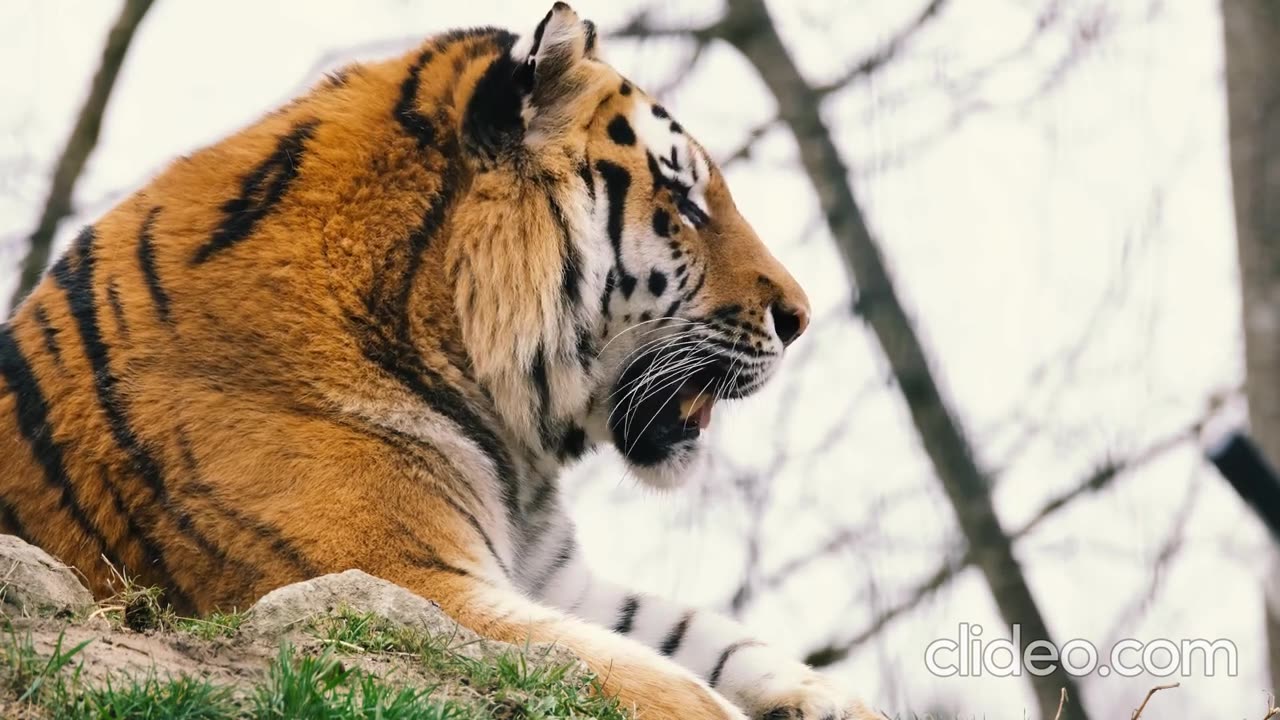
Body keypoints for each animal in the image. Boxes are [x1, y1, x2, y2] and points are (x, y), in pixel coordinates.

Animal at [0, 5, 880, 717]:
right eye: (687, 203)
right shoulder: (398, 578)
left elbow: (711, 638)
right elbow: (662, 681)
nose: (800, 319)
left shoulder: (555, 580)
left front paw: (837, 700)